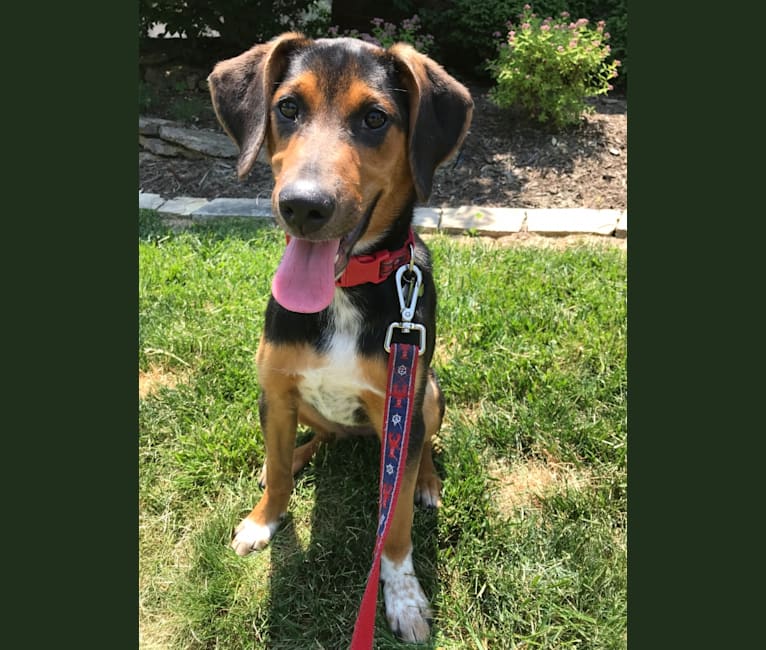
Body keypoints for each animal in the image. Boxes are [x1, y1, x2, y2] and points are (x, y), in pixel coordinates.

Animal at [210, 33, 474, 640]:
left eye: (375, 118)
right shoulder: (276, 390)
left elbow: (395, 528)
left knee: (422, 448)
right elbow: (277, 471)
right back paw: (302, 454)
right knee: (314, 439)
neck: (345, 290)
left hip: (428, 392)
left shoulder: (403, 400)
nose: (303, 206)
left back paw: (426, 482)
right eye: (287, 107)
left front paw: (402, 596)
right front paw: (264, 519)